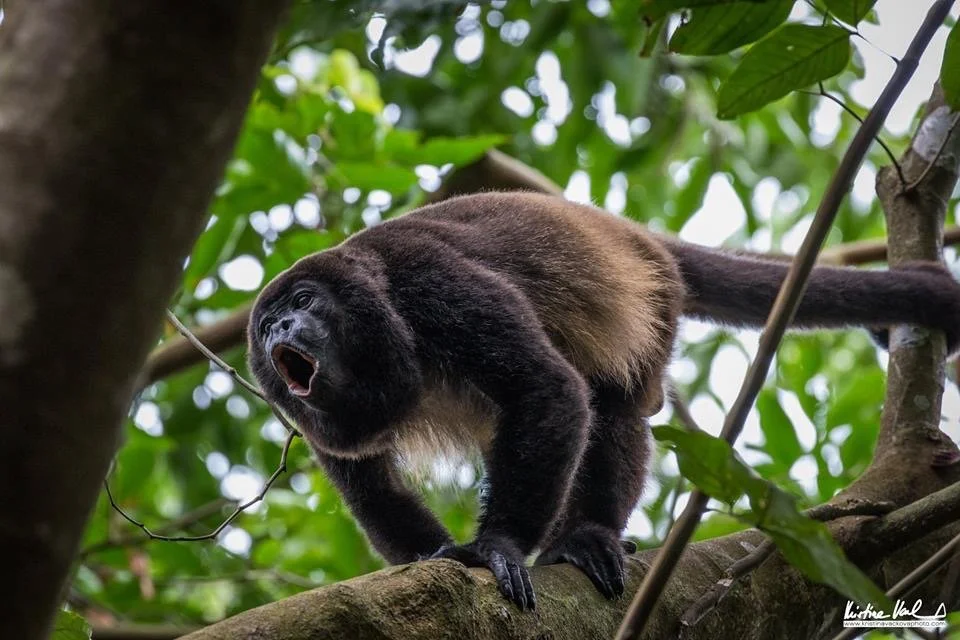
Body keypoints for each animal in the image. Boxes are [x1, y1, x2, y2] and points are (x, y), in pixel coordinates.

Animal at [247, 191, 960, 610]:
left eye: (305, 302)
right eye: (268, 324)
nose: (280, 330)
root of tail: (635, 236)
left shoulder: (428, 281)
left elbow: (545, 387)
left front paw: (495, 548)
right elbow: (374, 490)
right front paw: (432, 560)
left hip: (655, 300)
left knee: (614, 403)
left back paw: (587, 536)